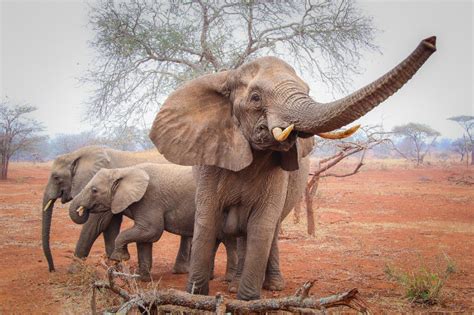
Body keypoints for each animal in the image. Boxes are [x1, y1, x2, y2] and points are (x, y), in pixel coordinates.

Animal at [150, 35, 436, 300]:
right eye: (255, 98)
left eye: (308, 91)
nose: (431, 42)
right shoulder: (211, 161)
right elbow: (207, 220)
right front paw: (196, 296)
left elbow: (262, 225)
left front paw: (248, 300)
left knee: (270, 229)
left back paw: (271, 286)